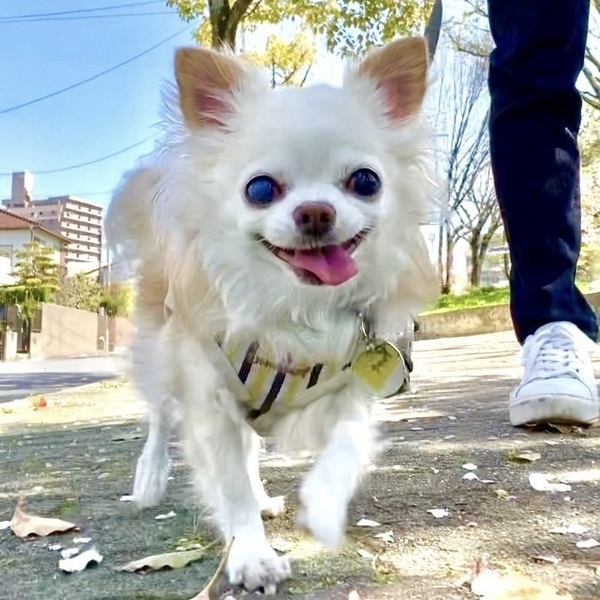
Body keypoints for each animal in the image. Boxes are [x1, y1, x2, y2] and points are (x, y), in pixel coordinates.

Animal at [106, 27, 440, 594]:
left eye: (366, 181)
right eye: (260, 189)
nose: (316, 212)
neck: (297, 307)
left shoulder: (352, 386)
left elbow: (346, 444)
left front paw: (322, 509)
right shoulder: (208, 397)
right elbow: (228, 483)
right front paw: (252, 557)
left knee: (250, 449)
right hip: (160, 348)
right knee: (158, 415)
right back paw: (148, 479)